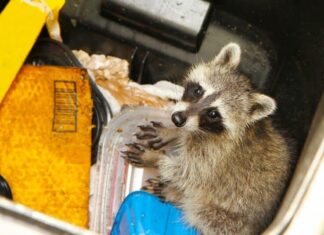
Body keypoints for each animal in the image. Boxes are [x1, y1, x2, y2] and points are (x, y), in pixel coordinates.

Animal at [121, 43, 292, 234]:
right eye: (198, 90)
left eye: (213, 114)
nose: (177, 119)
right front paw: (173, 132)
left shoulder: (214, 156)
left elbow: (188, 172)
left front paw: (154, 158)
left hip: (229, 220)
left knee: (200, 212)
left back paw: (176, 195)